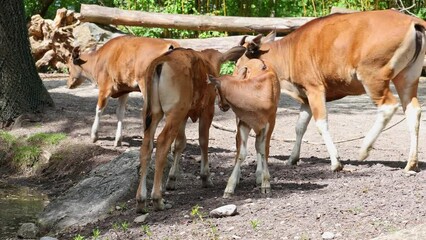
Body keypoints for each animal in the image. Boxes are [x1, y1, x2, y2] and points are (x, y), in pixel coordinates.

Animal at [135, 45, 245, 212]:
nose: (223, 105)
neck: (208, 61)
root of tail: (161, 61)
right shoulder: (207, 110)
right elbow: (203, 140)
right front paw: (205, 177)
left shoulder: (184, 115)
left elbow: (180, 144)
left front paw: (172, 179)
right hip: (174, 112)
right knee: (162, 142)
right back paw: (157, 198)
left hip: (154, 113)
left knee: (147, 145)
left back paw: (141, 199)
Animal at [208, 59, 282, 198]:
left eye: (215, 89)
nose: (220, 106)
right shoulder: (243, 122)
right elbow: (241, 153)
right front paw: (229, 188)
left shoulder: (270, 121)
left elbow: (264, 150)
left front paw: (266, 185)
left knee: (258, 145)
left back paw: (259, 176)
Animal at [236, 10, 426, 172]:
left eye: (240, 65)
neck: (290, 52)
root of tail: (414, 22)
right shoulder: (306, 97)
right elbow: (299, 127)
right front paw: (292, 158)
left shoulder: (315, 89)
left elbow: (321, 123)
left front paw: (336, 162)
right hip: (407, 78)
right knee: (413, 111)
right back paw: (411, 163)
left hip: (372, 77)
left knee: (388, 107)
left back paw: (364, 150)